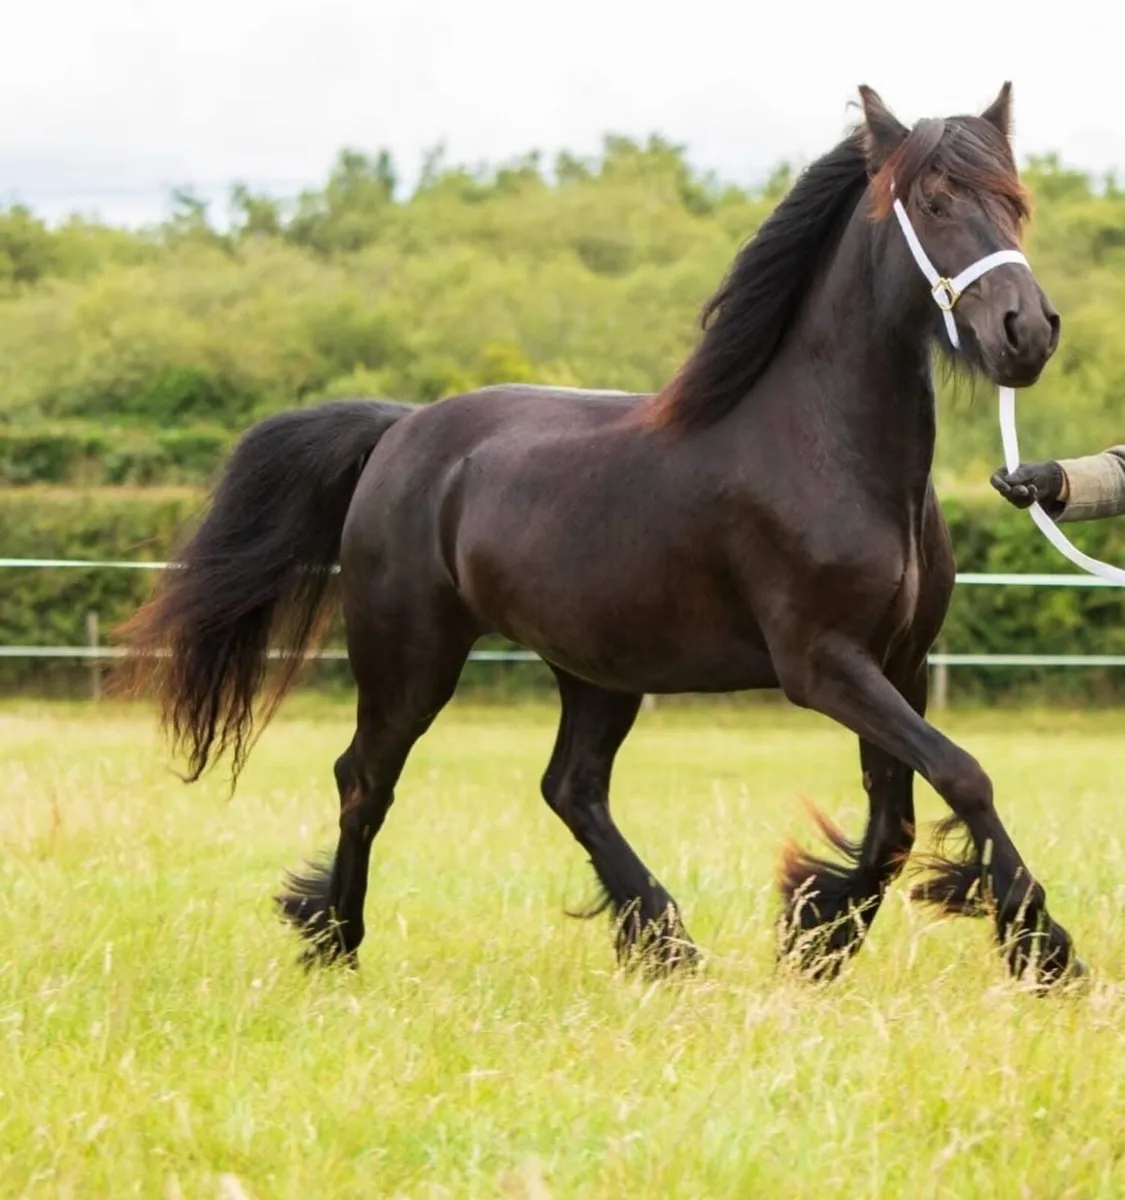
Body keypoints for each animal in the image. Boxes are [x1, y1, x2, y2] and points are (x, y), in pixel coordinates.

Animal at [120, 82, 1084, 988]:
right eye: (934, 199)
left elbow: (896, 818)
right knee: (365, 777)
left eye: (1014, 200)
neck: (825, 445)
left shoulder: (898, 662)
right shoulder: (823, 664)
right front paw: (1042, 952)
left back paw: (665, 942)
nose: (1026, 332)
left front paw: (818, 933)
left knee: (570, 788)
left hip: (595, 667)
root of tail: (399, 431)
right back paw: (339, 942)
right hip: (410, 654)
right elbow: (961, 774)